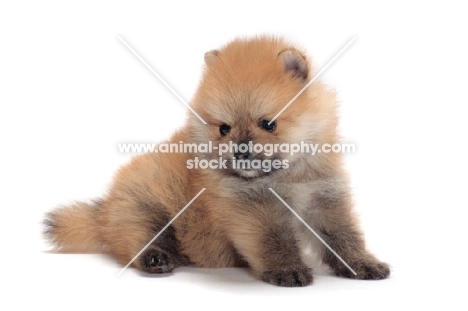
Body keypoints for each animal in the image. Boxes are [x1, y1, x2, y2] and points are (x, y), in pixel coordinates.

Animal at [44, 36, 390, 288]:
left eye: (268, 124)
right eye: (224, 128)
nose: (240, 150)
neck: (287, 177)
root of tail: (102, 212)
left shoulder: (324, 197)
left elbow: (344, 237)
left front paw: (362, 264)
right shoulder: (252, 210)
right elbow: (273, 241)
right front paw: (286, 269)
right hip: (143, 207)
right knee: (134, 238)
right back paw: (156, 258)